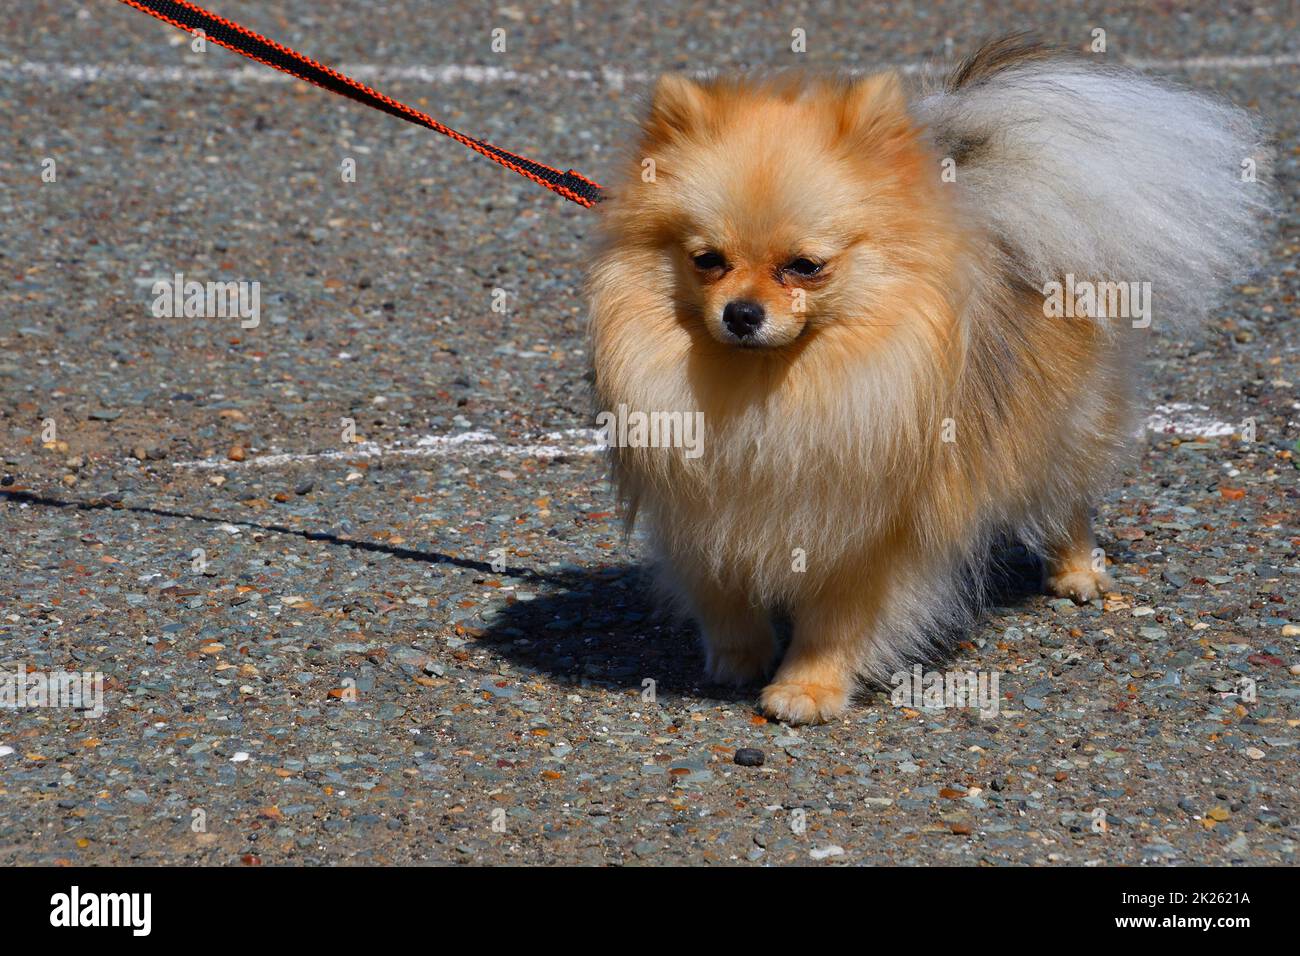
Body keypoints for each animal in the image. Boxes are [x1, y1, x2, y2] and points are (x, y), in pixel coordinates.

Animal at [587, 37, 1268, 723]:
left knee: (1068, 497)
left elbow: (835, 621)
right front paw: (739, 657)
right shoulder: (701, 507)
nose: (742, 313)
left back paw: (1077, 571)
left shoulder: (872, 535)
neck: (772, 388)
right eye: (708, 261)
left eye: (805, 267)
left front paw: (807, 687)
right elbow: (721, 594)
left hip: (1064, 423)